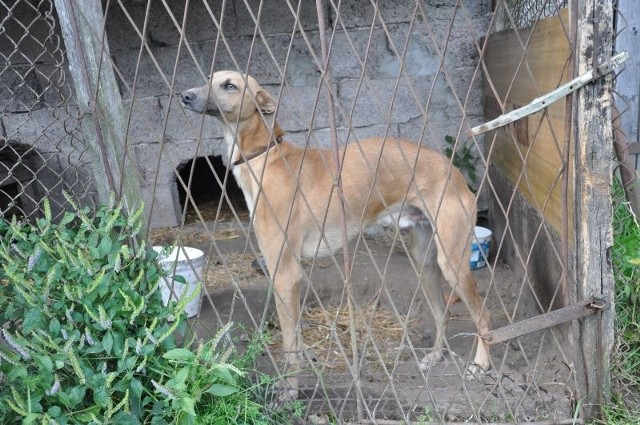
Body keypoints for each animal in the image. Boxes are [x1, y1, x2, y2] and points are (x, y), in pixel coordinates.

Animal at [182, 71, 492, 396]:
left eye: (230, 85)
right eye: (209, 79)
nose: (185, 96)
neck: (265, 158)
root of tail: (453, 171)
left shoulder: (285, 274)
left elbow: (290, 343)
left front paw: (290, 390)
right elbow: (295, 338)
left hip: (452, 263)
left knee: (484, 315)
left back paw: (481, 364)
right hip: (426, 262)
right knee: (441, 313)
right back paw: (436, 355)